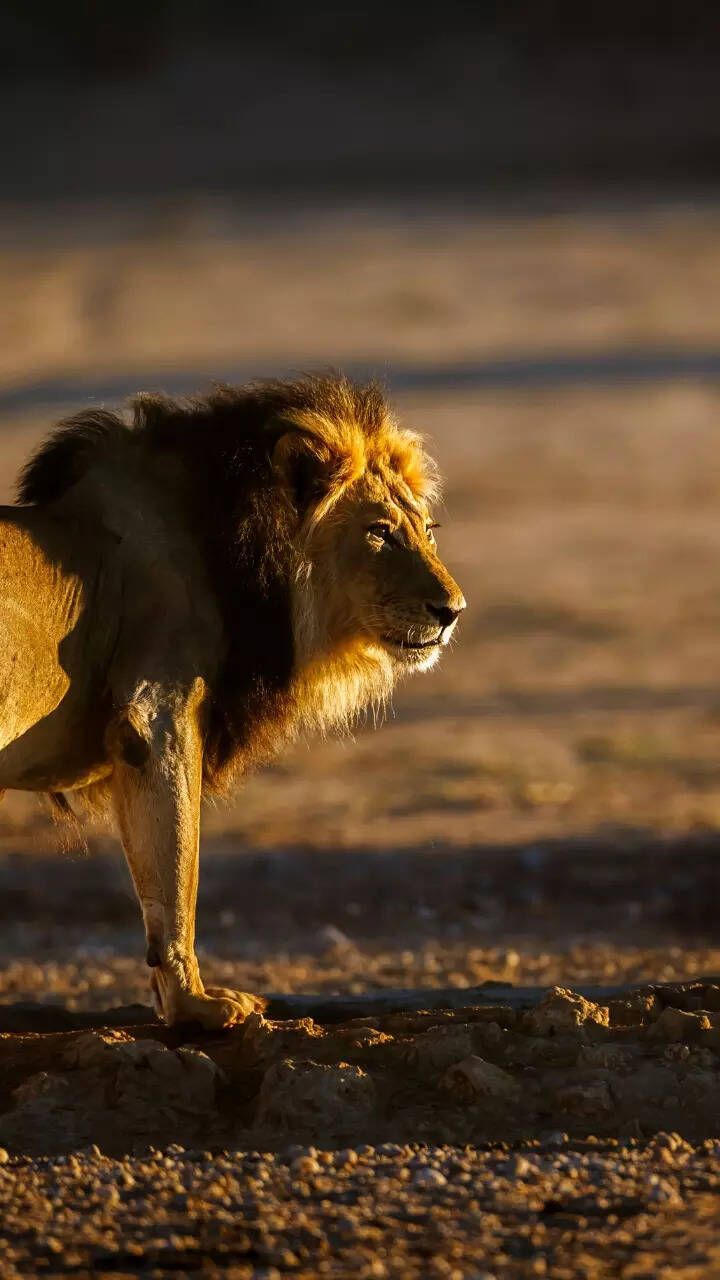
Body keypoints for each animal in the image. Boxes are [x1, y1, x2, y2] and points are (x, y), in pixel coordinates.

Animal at [0, 375, 465, 1028]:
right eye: (378, 532)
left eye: (425, 531)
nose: (453, 611)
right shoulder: (156, 714)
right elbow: (175, 868)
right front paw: (197, 1005)